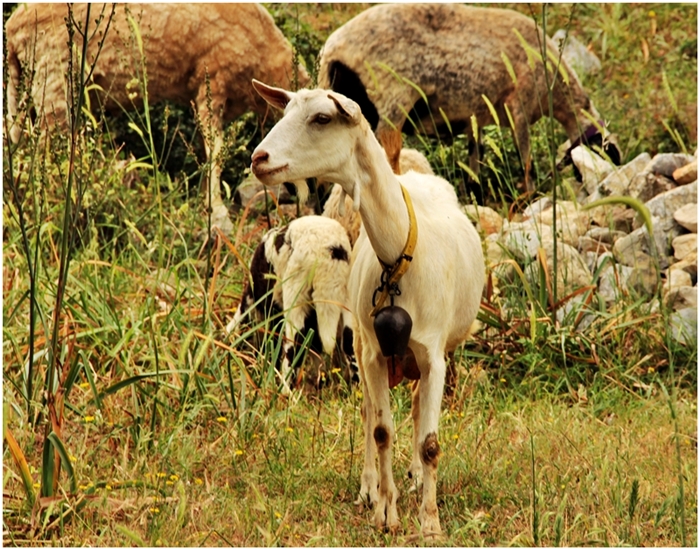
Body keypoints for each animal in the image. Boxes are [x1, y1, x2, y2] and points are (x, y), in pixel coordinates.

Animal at [3, 2, 308, 235]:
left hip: (29, 83)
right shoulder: (212, 76)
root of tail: (13, 28)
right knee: (48, 148)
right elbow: (215, 151)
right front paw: (217, 214)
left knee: (19, 141)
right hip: (54, 72)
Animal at [227, 216, 352, 392]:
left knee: (295, 345)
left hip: (296, 293)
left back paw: (285, 391)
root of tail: (331, 252)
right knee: (349, 343)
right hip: (347, 298)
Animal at [252, 83, 486, 540]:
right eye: (284, 111)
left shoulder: (433, 354)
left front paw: (430, 523)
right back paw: (369, 488)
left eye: (322, 118)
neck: (401, 255)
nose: (259, 158)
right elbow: (380, 430)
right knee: (368, 413)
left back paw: (415, 478)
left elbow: (430, 442)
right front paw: (385, 512)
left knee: (416, 408)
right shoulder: (375, 353)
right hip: (359, 340)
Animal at [318, 3, 616, 194]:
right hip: (393, 100)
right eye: (604, 151)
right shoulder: (519, 104)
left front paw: (475, 191)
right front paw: (529, 195)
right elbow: (526, 157)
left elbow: (476, 154)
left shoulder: (477, 115)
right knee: (390, 151)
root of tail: (333, 50)